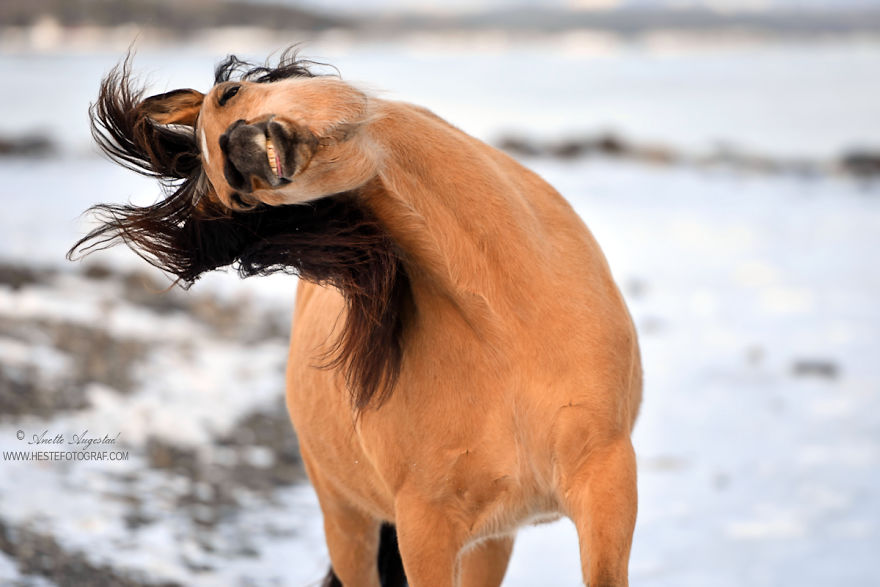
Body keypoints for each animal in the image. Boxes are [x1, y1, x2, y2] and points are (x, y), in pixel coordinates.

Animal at [69, 49, 642, 587]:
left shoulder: (606, 480)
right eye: (239, 198)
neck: (500, 330)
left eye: (230, 94)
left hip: (492, 540)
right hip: (349, 520)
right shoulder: (425, 526)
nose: (236, 153)